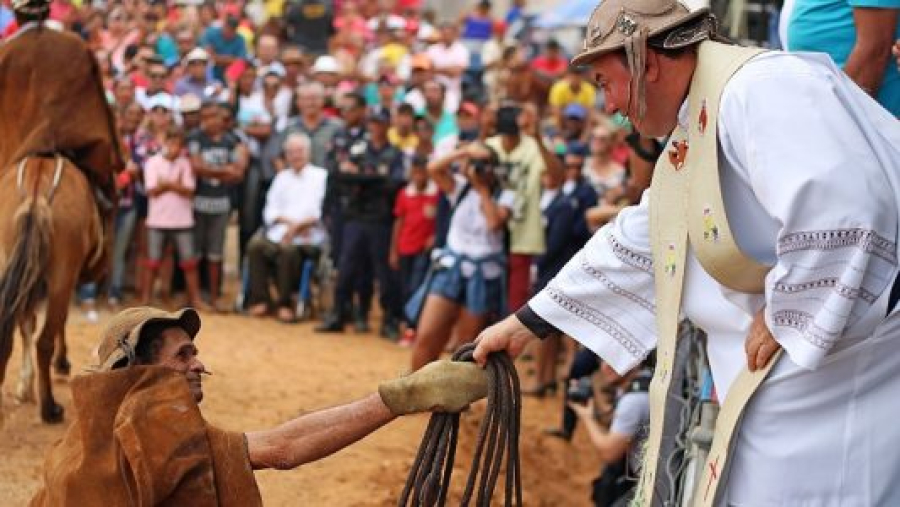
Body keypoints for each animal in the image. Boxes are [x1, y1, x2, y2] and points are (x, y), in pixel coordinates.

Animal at [0, 156, 105, 424]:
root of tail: (36, 194)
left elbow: (26, 322)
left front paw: (24, 386)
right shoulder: (66, 278)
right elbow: (57, 321)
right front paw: (61, 362)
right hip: (61, 277)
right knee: (44, 341)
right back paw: (49, 408)